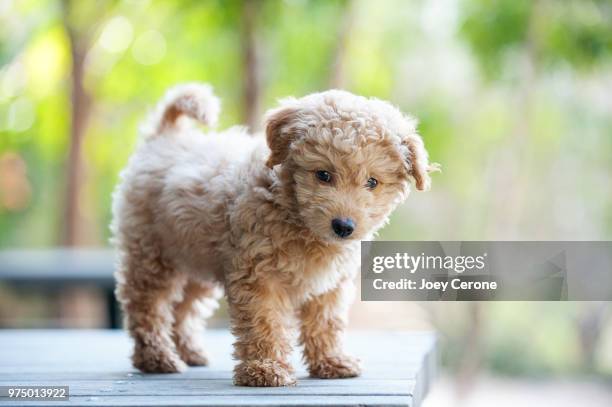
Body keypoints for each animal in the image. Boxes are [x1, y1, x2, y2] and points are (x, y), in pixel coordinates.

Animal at [110, 82, 436, 386]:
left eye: (372, 182)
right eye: (323, 175)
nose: (343, 226)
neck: (292, 213)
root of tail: (165, 137)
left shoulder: (329, 285)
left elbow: (326, 322)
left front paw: (331, 361)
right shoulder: (258, 276)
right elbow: (263, 322)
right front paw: (265, 369)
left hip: (195, 256)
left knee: (184, 307)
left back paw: (189, 352)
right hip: (151, 254)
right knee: (146, 307)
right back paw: (156, 358)